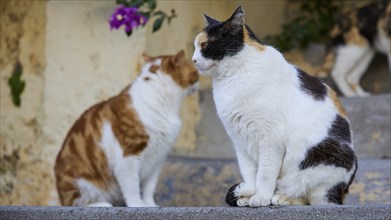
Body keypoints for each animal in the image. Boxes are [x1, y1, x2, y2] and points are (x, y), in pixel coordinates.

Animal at [55, 50, 199, 207]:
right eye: (195, 73)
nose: (199, 82)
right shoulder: (129, 155)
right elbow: (132, 187)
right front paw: (138, 205)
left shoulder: (158, 158)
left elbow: (149, 187)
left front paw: (150, 205)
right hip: (81, 184)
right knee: (77, 202)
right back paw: (103, 204)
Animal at [193, 6, 358, 206]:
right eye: (195, 47)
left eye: (204, 46)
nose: (193, 60)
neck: (233, 76)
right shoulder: (239, 140)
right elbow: (248, 171)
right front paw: (247, 192)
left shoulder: (270, 140)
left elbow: (265, 173)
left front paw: (260, 197)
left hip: (322, 162)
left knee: (312, 197)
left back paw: (280, 198)